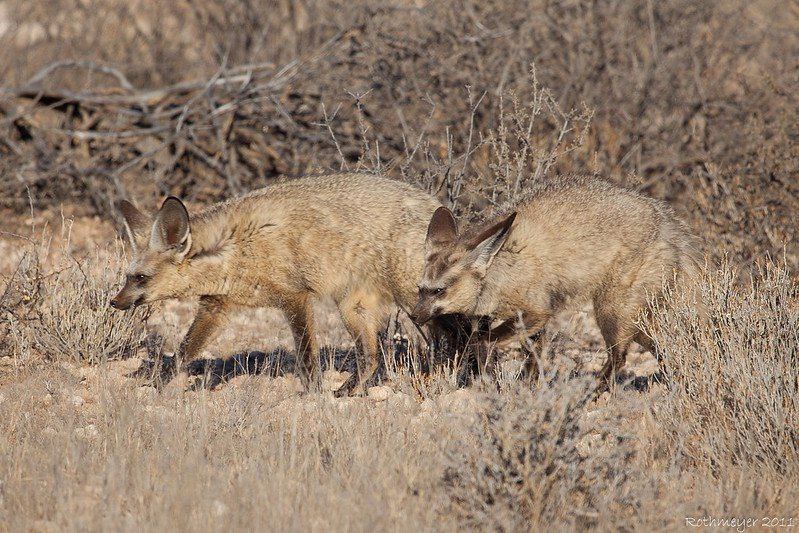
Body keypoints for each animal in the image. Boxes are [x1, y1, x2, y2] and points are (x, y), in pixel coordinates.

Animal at [112, 171, 450, 394]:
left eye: (140, 277)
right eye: (127, 276)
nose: (115, 302)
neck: (234, 247)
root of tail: (434, 202)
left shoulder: (295, 297)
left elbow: (306, 357)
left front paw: (313, 393)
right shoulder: (217, 306)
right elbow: (184, 353)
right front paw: (160, 384)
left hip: (416, 303)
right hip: (354, 309)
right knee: (372, 358)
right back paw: (347, 391)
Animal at [412, 177, 700, 388]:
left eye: (439, 290)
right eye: (420, 290)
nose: (414, 317)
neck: (501, 270)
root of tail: (667, 222)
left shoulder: (538, 311)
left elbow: (482, 341)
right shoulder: (518, 322)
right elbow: (527, 357)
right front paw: (523, 386)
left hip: (611, 312)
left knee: (619, 357)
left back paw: (593, 393)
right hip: (639, 322)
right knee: (665, 349)